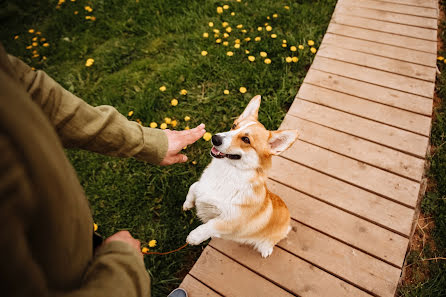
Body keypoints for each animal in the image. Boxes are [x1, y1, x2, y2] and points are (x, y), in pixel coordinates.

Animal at [183, 95, 298, 256]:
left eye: (246, 140)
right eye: (233, 126)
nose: (215, 138)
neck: (226, 171)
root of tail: (288, 217)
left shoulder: (230, 221)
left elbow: (211, 225)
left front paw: (194, 237)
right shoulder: (201, 187)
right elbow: (193, 187)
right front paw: (187, 204)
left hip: (276, 234)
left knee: (273, 240)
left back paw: (266, 249)